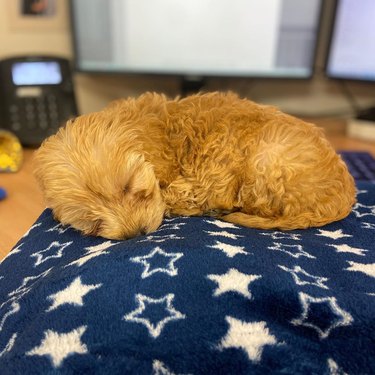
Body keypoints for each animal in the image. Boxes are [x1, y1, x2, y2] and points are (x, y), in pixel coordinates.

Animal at [33, 93, 356, 241]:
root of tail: (345, 197)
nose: (136, 233)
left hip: (266, 161)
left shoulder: (209, 178)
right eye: (91, 221)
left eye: (129, 187)